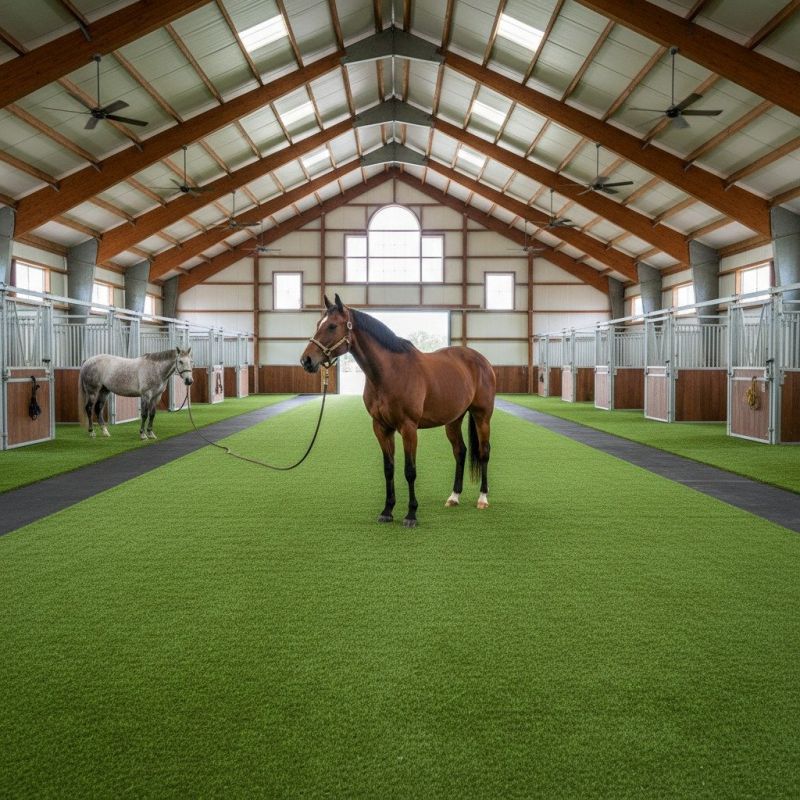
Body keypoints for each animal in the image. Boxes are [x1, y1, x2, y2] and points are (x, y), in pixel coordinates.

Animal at [301, 295, 495, 528]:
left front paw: (411, 515)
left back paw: (483, 499)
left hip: (482, 416)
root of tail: (481, 360)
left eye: (331, 326)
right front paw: (387, 510)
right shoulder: (381, 427)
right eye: (317, 324)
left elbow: (409, 471)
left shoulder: (408, 428)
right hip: (453, 420)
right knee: (460, 451)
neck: (390, 372)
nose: (306, 360)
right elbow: (389, 469)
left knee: (484, 452)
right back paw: (454, 497)